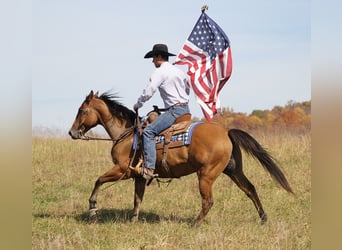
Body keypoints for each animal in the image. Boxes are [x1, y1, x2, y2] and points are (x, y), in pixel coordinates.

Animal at [68, 91, 292, 226]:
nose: (72, 132)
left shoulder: (123, 170)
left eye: (82, 110)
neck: (127, 134)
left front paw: (93, 209)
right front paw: (133, 221)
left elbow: (98, 181)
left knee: (208, 200)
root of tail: (226, 132)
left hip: (206, 175)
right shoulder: (139, 177)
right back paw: (263, 218)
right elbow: (137, 199)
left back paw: (195, 223)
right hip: (233, 170)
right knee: (250, 189)